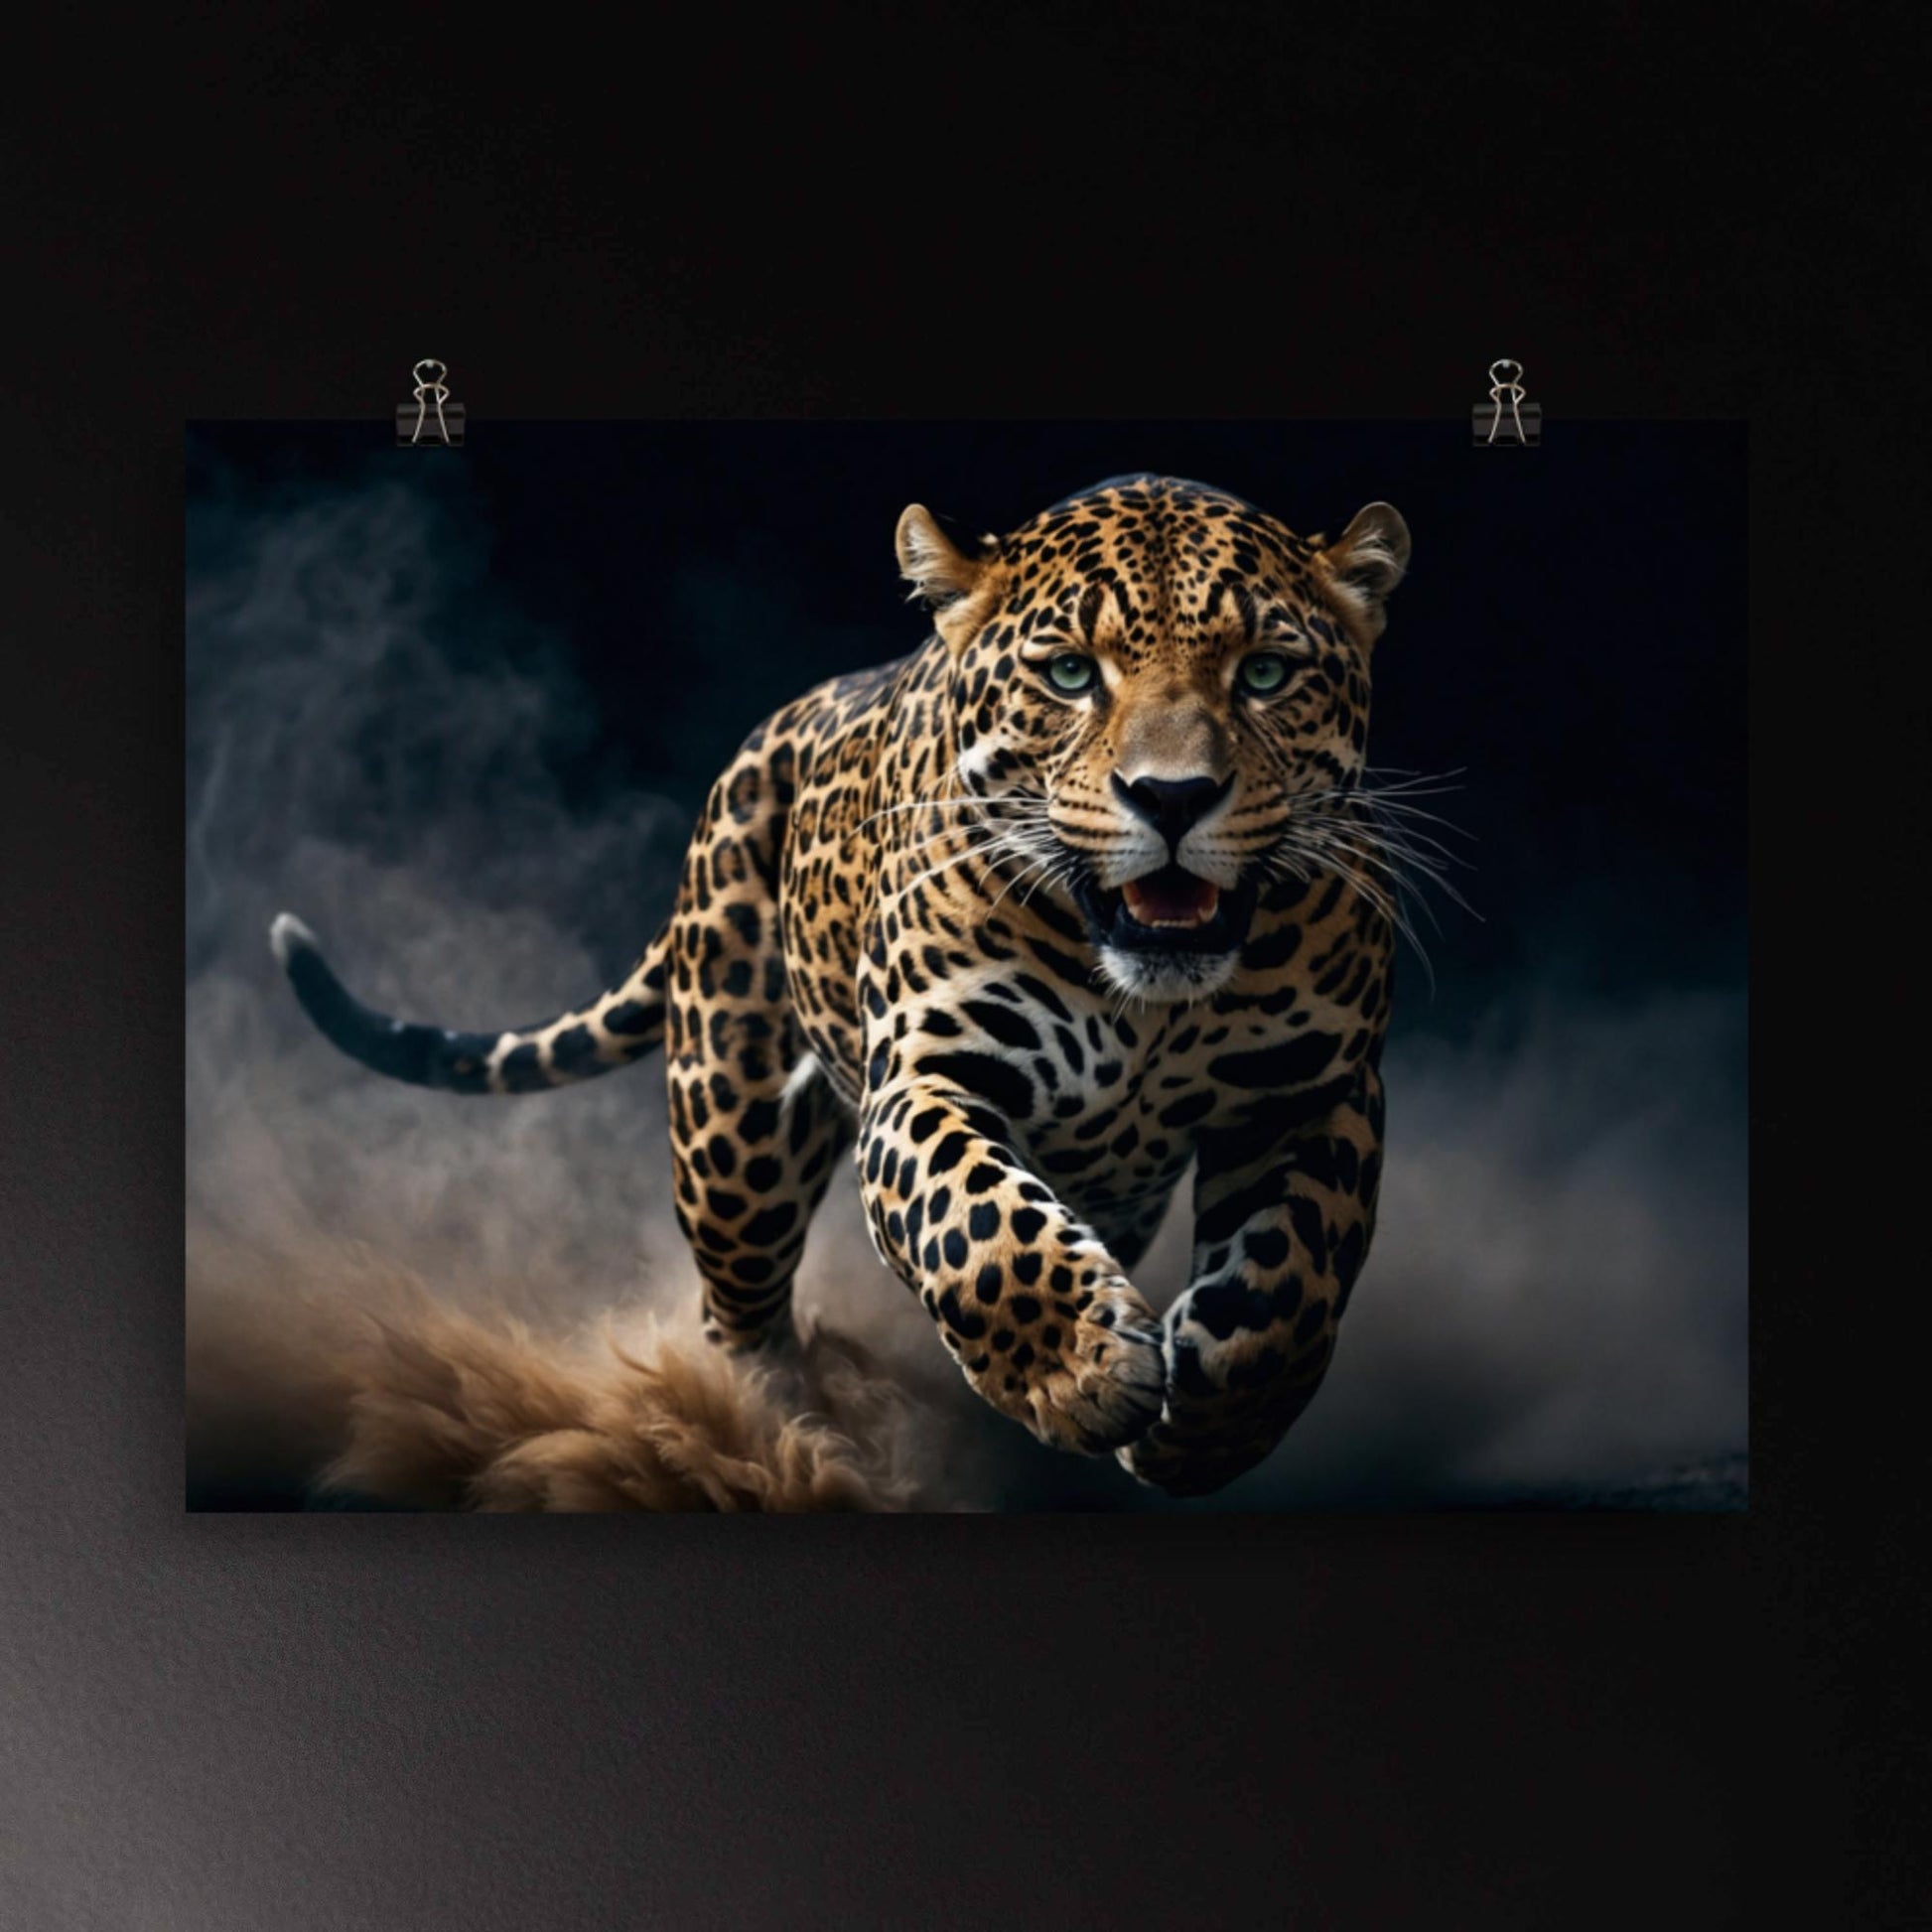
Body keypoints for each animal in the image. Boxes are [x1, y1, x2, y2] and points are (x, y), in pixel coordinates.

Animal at [269, 473, 1414, 1497]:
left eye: (1265, 673)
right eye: (1068, 674)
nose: (1171, 798)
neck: (1148, 1006)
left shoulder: (1315, 1094)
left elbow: (1291, 1278)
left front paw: (1210, 1424)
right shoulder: (925, 1073)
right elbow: (980, 1226)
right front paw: (1080, 1370)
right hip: (733, 1135)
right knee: (737, 1312)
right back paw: (773, 1437)